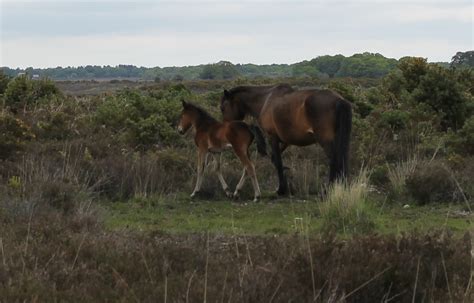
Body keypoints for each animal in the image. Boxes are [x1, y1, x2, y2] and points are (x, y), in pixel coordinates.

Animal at [219, 84, 352, 196]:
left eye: (222, 108)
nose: (225, 130)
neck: (265, 101)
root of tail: (339, 100)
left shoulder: (272, 137)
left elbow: (278, 162)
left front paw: (281, 189)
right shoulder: (285, 141)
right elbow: (274, 159)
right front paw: (287, 184)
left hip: (325, 141)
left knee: (334, 161)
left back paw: (328, 190)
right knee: (342, 160)